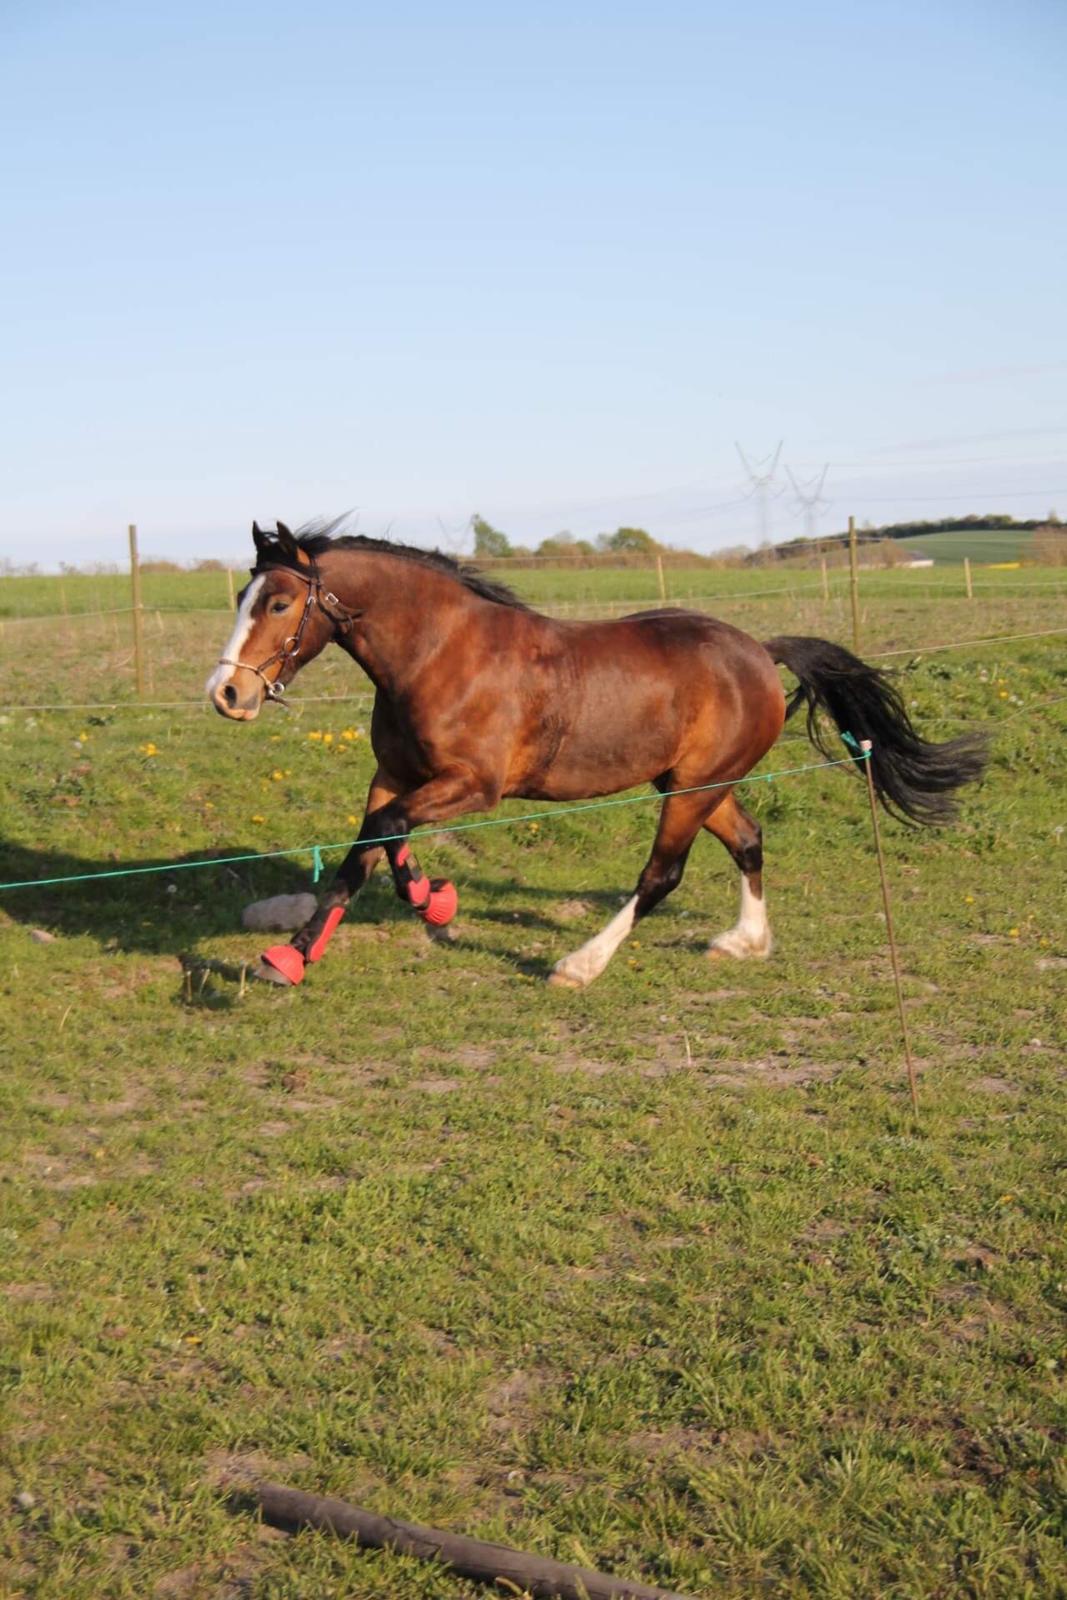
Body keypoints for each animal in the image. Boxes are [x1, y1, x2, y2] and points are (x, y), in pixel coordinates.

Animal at [206, 521, 985, 985]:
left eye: (278, 604)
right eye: (243, 596)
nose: (227, 694)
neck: (438, 654)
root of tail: (759, 652)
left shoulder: (474, 785)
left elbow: (386, 834)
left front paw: (431, 902)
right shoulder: (394, 774)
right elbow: (365, 851)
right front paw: (293, 955)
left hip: (690, 791)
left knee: (660, 875)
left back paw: (579, 964)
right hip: (695, 784)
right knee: (749, 841)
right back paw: (744, 942)